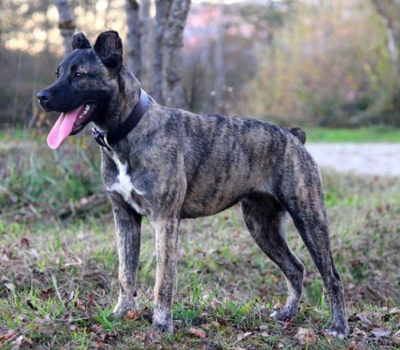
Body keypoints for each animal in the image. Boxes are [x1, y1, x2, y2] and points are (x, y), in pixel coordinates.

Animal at [38, 31, 350, 338]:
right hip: (262, 226)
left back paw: (338, 327)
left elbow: (163, 280)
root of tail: (293, 136)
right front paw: (120, 314)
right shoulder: (125, 219)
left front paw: (161, 324)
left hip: (309, 218)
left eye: (80, 75)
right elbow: (126, 274)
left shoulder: (165, 221)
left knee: (331, 276)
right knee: (295, 268)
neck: (130, 130)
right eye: (58, 72)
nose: (42, 96)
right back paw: (287, 314)